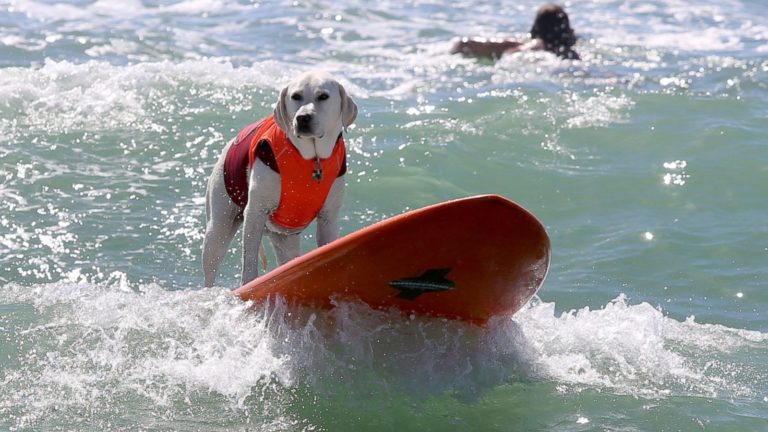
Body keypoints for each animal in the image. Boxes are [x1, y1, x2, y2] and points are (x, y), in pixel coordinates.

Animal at [204, 71, 360, 286]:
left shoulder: (329, 217)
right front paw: (249, 283)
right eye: (296, 96)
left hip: (285, 238)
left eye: (323, 96)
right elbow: (249, 257)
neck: (312, 159)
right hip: (219, 223)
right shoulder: (256, 211)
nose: (303, 118)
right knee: (212, 260)